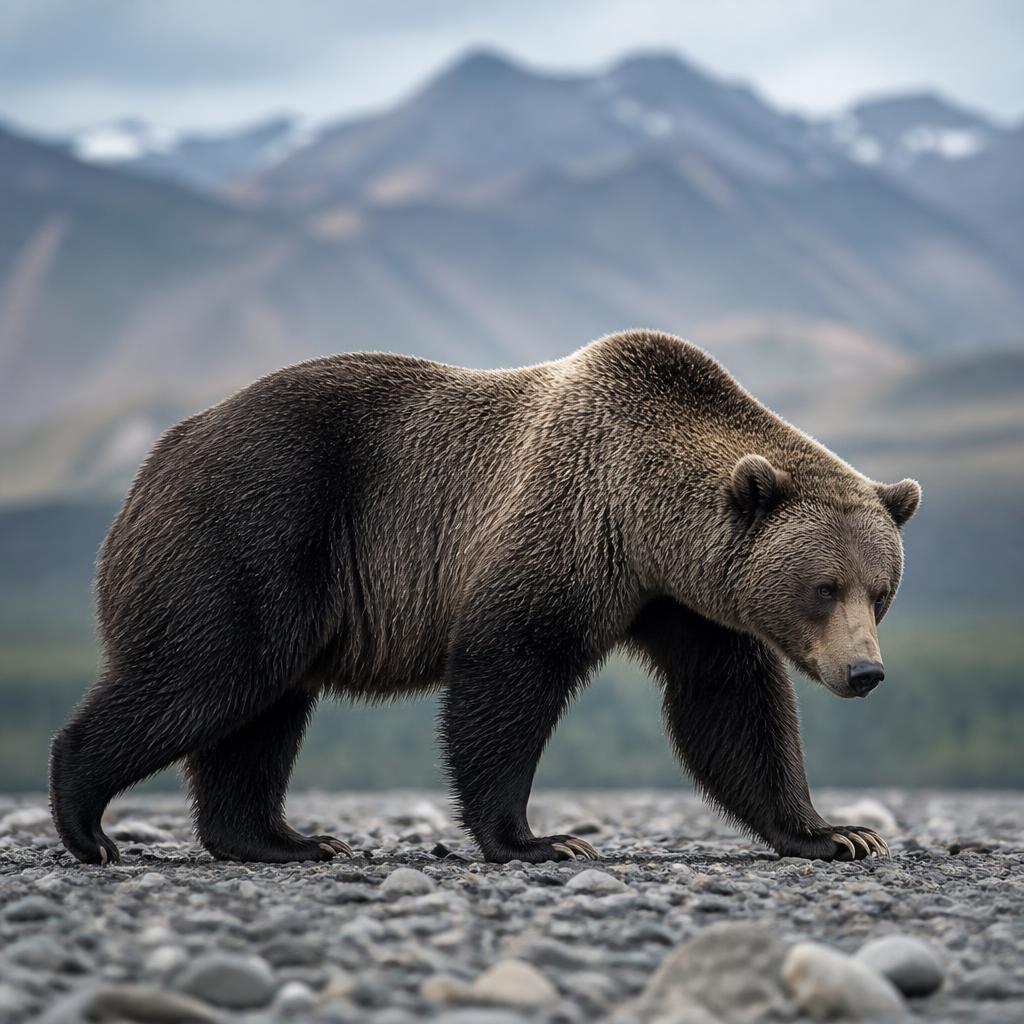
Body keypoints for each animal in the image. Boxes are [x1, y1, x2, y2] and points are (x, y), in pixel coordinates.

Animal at [49, 329, 920, 866]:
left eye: (879, 592)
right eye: (822, 587)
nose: (865, 673)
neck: (646, 522)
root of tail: (158, 456)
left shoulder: (682, 601)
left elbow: (729, 705)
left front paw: (836, 833)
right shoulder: (565, 529)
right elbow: (509, 674)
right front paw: (541, 840)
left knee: (262, 711)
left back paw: (284, 840)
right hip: (251, 528)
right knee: (207, 675)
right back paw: (87, 823)